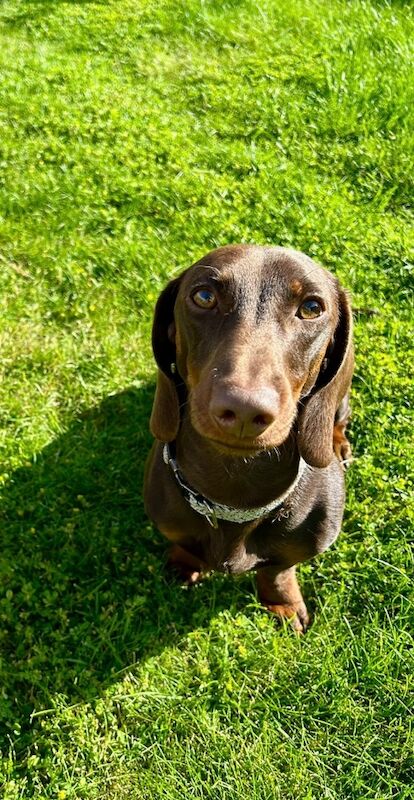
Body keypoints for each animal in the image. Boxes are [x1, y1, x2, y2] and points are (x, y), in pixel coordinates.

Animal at [144, 244, 354, 632]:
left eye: (312, 307)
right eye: (204, 296)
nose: (243, 409)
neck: (234, 493)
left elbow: (277, 570)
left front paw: (282, 603)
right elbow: (186, 546)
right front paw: (184, 565)